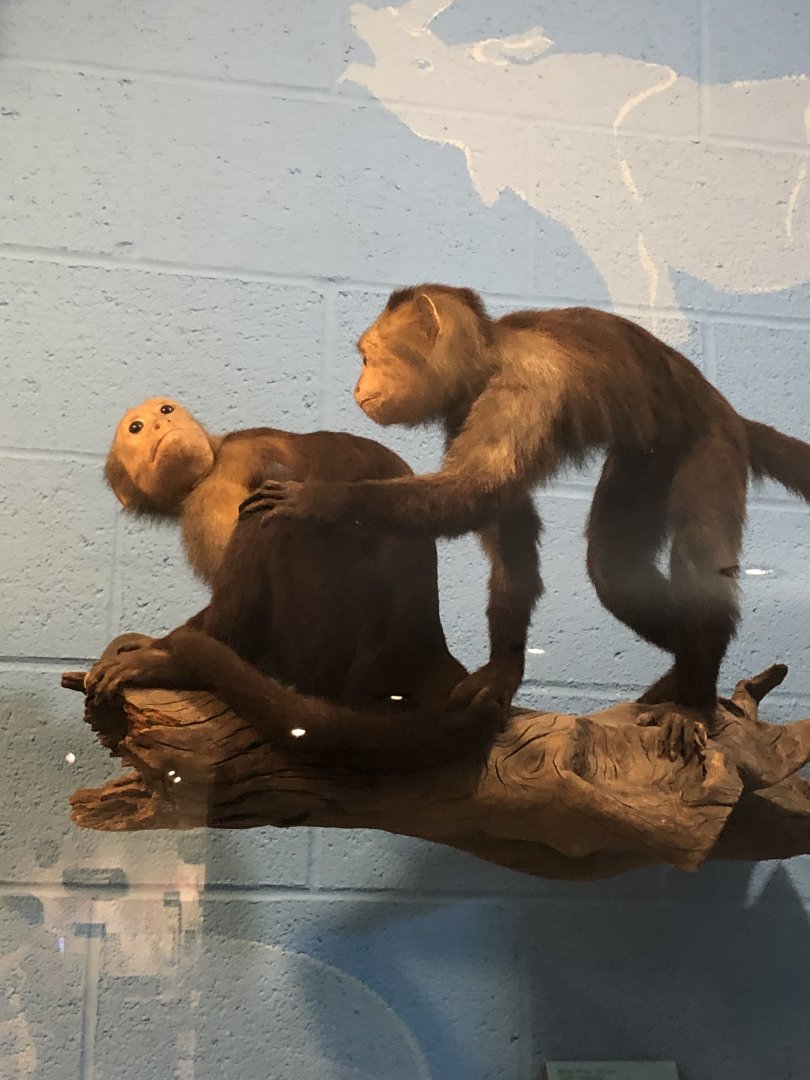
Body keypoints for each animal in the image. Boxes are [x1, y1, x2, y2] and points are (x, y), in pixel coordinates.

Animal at [84, 397, 501, 772]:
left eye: (165, 411)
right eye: (137, 428)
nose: (160, 424)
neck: (214, 463)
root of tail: (428, 645)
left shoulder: (224, 477)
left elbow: (274, 481)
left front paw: (164, 658)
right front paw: (155, 644)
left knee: (274, 511)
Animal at [239, 285, 810, 759]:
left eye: (368, 358)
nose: (359, 385)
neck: (490, 358)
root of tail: (725, 408)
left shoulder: (525, 387)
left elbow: (473, 494)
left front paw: (319, 500)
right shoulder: (462, 410)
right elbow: (505, 523)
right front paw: (505, 672)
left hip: (710, 440)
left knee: (694, 561)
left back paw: (694, 697)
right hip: (646, 459)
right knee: (614, 570)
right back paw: (684, 675)